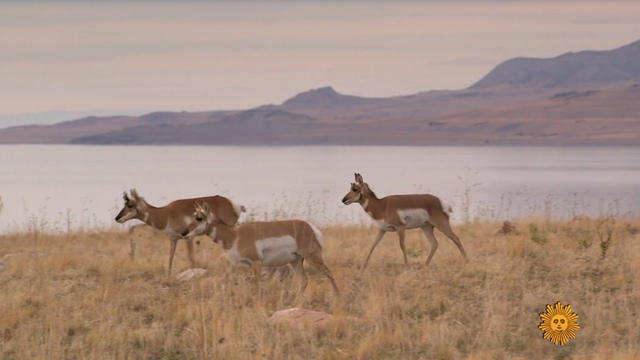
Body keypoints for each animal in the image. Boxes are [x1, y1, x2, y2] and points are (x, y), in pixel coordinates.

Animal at [115, 190, 245, 274]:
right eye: (124, 204)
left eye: (130, 204)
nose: (117, 218)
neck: (166, 213)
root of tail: (233, 204)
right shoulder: (173, 239)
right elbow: (170, 257)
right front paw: (168, 275)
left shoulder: (188, 238)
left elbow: (190, 257)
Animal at [181, 202, 340, 296]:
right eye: (194, 216)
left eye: (199, 217)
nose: (183, 232)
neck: (234, 234)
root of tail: (311, 227)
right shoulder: (236, 264)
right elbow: (226, 279)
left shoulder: (256, 264)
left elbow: (257, 285)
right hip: (295, 261)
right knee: (303, 281)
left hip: (313, 257)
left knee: (329, 273)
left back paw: (337, 296)